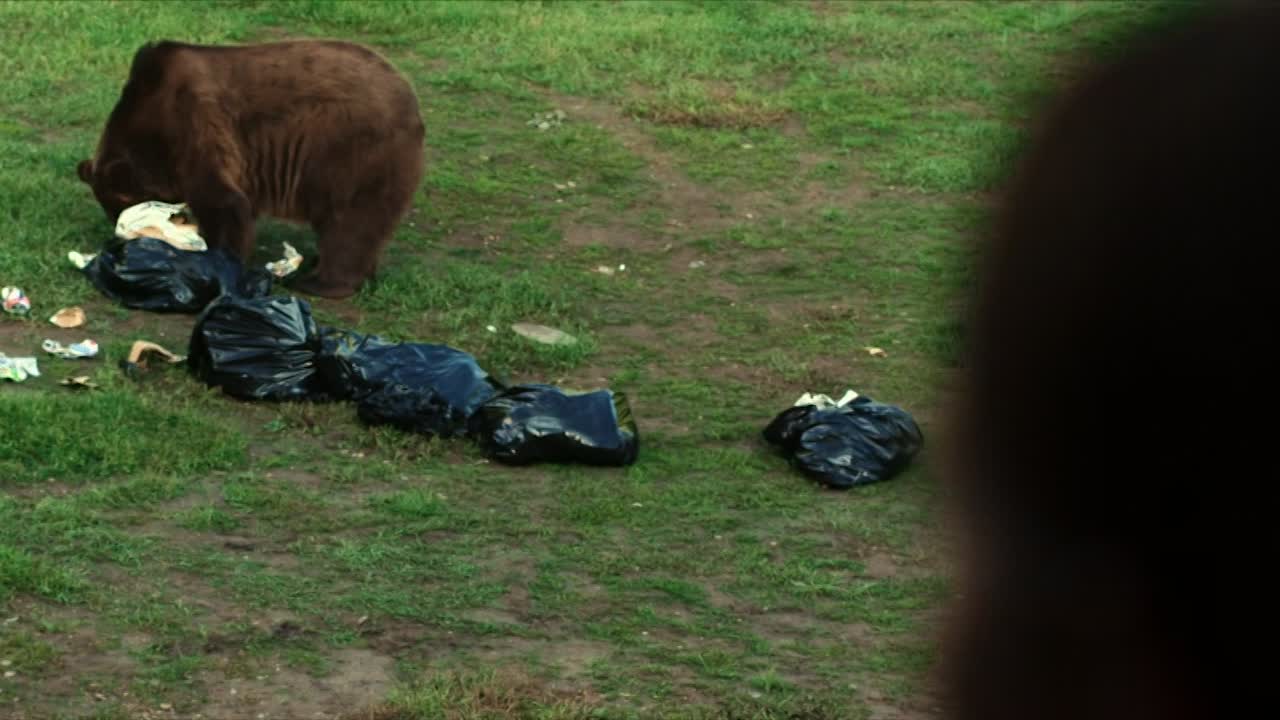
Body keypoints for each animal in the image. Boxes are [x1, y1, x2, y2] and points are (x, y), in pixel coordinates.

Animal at [77, 39, 425, 299]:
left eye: (120, 207)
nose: (120, 241)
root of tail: (410, 98)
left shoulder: (193, 124)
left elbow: (222, 202)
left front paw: (219, 261)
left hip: (352, 150)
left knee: (351, 220)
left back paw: (321, 282)